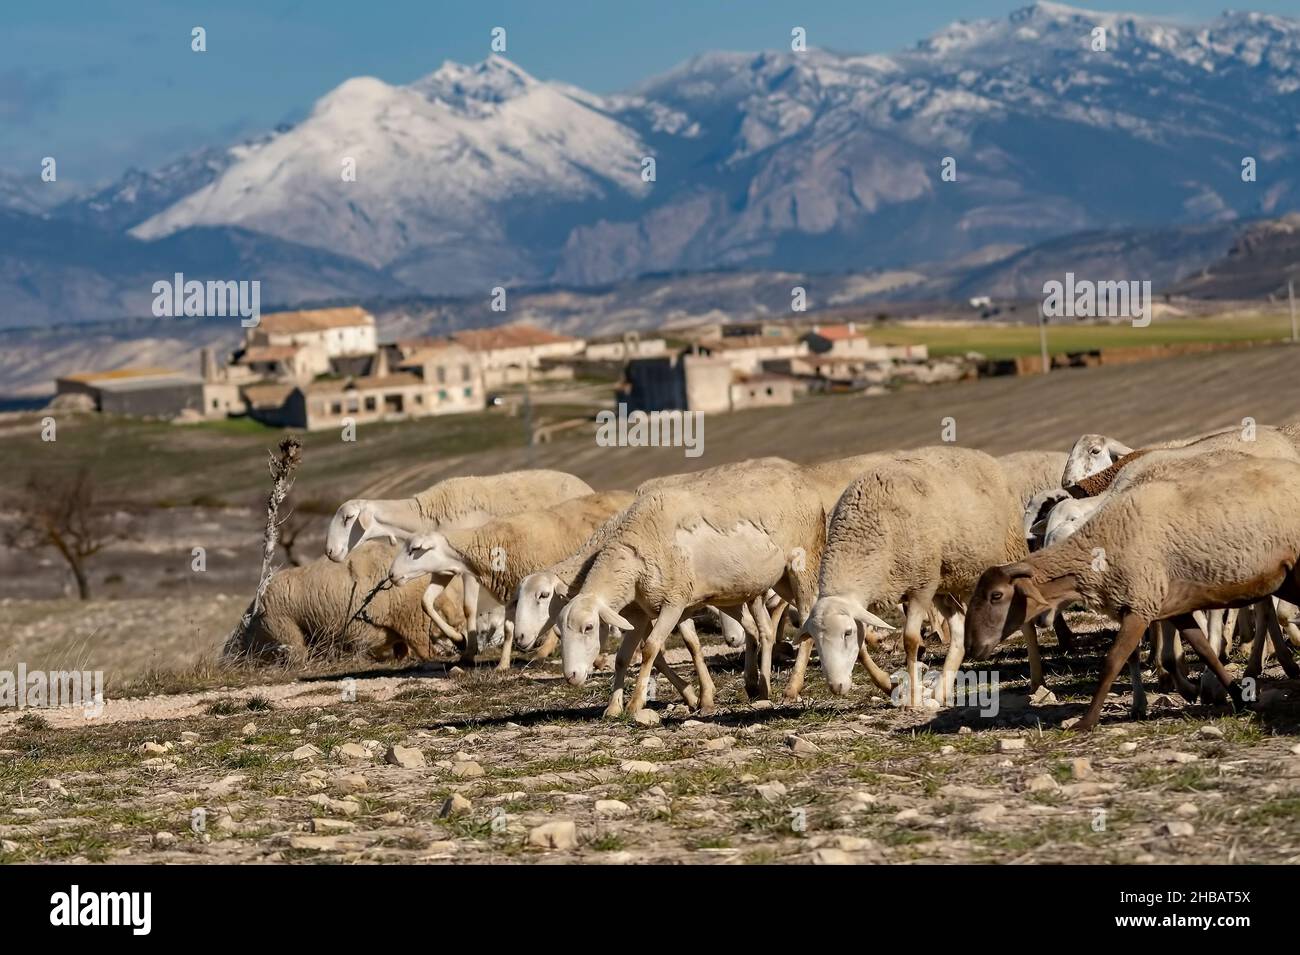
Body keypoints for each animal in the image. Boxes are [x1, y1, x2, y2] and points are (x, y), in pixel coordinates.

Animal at [556, 462, 821, 717]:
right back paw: (762, 688)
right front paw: (613, 708)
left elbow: (650, 648)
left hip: (803, 566)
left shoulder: (674, 602)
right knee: (771, 627)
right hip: (778, 580)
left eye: (589, 627)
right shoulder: (642, 612)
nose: (571, 677)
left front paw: (635, 704)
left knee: (806, 620)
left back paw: (791, 688)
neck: (635, 554)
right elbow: (625, 657)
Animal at [800, 444, 1024, 706]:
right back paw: (941, 691)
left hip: (1006, 553)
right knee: (958, 630)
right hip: (945, 582)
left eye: (846, 633)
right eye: (815, 639)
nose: (836, 687)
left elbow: (910, 640)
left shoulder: (921, 586)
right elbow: (863, 648)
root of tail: (980, 455)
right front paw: (887, 685)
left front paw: (914, 698)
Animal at [967, 454, 1300, 732]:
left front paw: (1086, 722)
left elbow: (1113, 661)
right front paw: (1236, 697)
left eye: (996, 596)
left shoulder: (1141, 605)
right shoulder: (1167, 606)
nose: (974, 649)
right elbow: (1202, 649)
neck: (1101, 544)